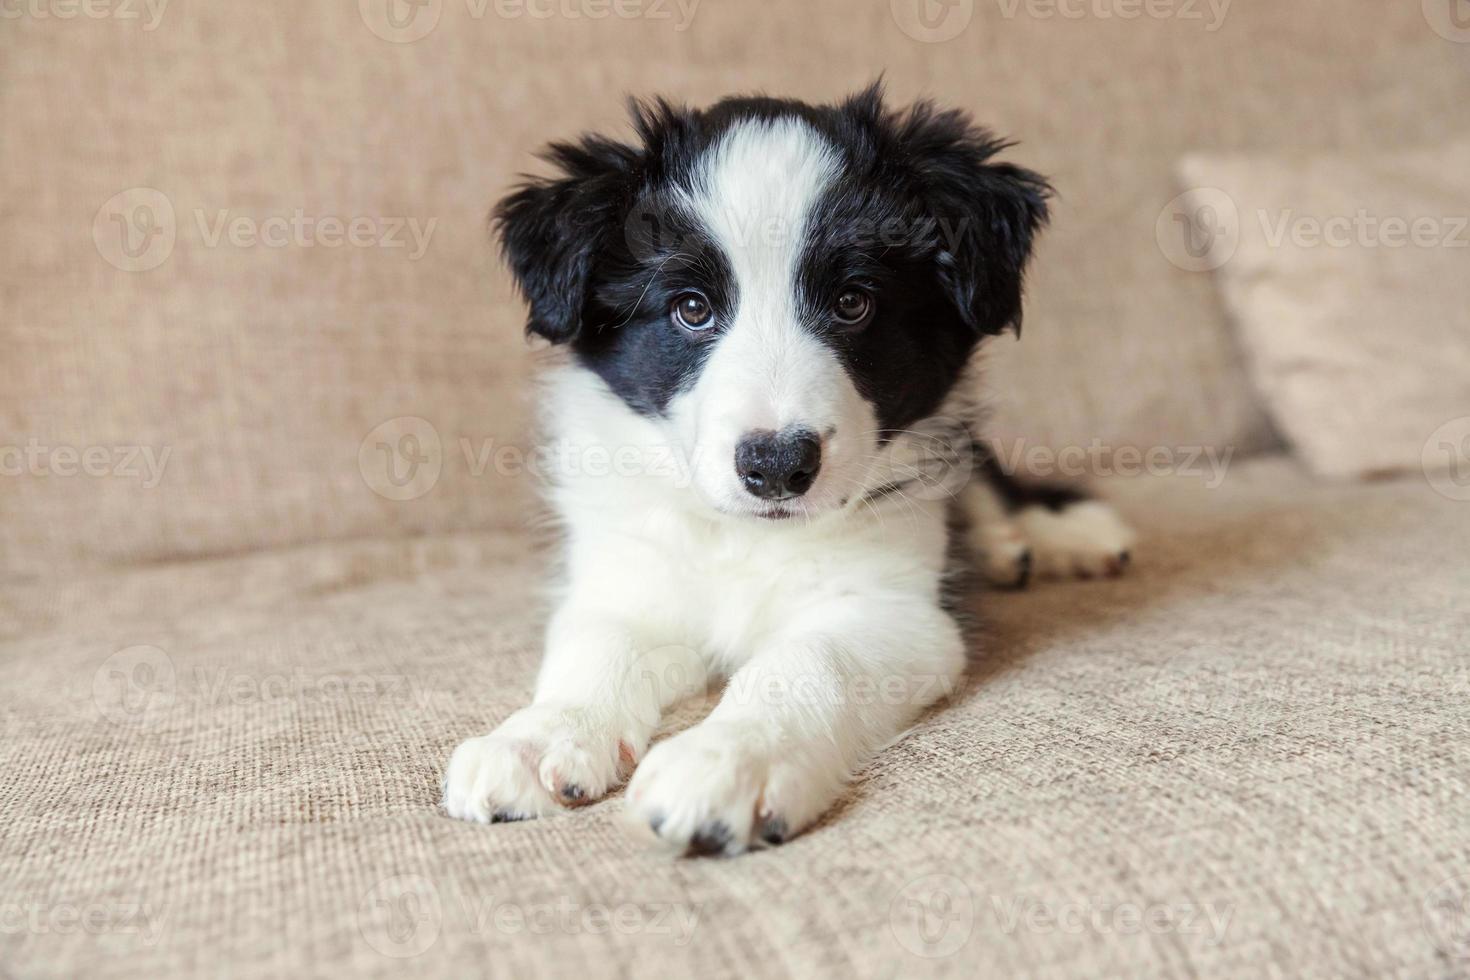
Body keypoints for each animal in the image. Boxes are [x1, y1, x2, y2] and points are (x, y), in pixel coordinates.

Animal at [441, 89, 1128, 858]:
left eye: (854, 302)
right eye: (691, 308)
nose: (775, 465)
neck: (747, 536)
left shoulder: (894, 610)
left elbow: (804, 663)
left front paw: (724, 761)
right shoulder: (629, 579)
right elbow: (594, 651)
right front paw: (535, 739)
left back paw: (1057, 535)